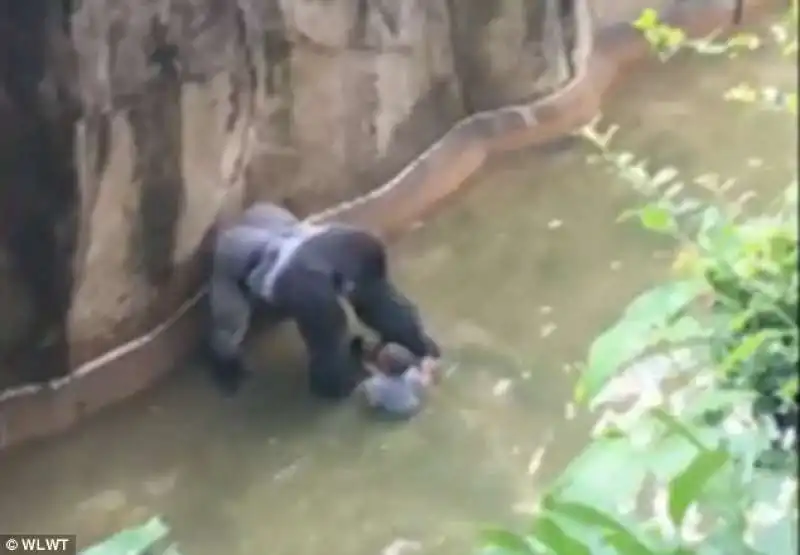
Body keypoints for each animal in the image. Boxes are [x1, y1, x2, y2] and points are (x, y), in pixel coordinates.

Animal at [206, 204, 440, 400]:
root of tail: (231, 229)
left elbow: (381, 309)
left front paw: (419, 343)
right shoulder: (314, 289)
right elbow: (330, 350)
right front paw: (347, 380)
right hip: (226, 259)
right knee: (230, 329)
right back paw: (226, 365)